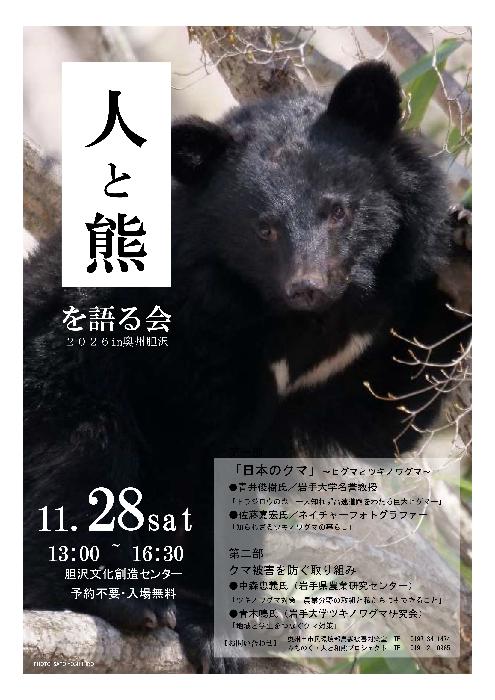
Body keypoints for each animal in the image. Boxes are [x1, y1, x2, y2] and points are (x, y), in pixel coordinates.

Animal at [24, 61, 468, 673]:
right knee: (81, 449)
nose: (307, 286)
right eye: (264, 228)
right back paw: (125, 601)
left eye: (338, 210)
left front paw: (463, 248)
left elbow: (382, 418)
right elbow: (197, 453)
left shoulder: (361, 336)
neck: (297, 321)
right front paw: (212, 622)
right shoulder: (189, 330)